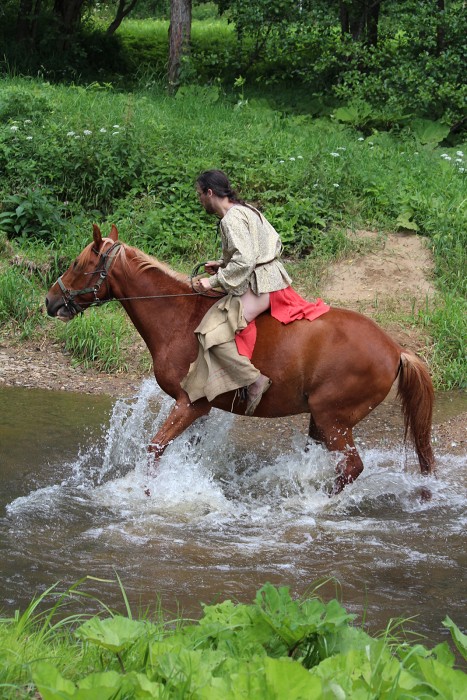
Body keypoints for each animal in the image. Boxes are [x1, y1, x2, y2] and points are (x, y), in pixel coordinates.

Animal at [44, 223, 436, 492]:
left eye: (78, 264)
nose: (50, 301)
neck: (179, 317)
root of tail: (395, 349)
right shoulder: (197, 409)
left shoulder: (191, 403)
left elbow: (154, 448)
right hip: (323, 420)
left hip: (334, 419)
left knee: (351, 469)